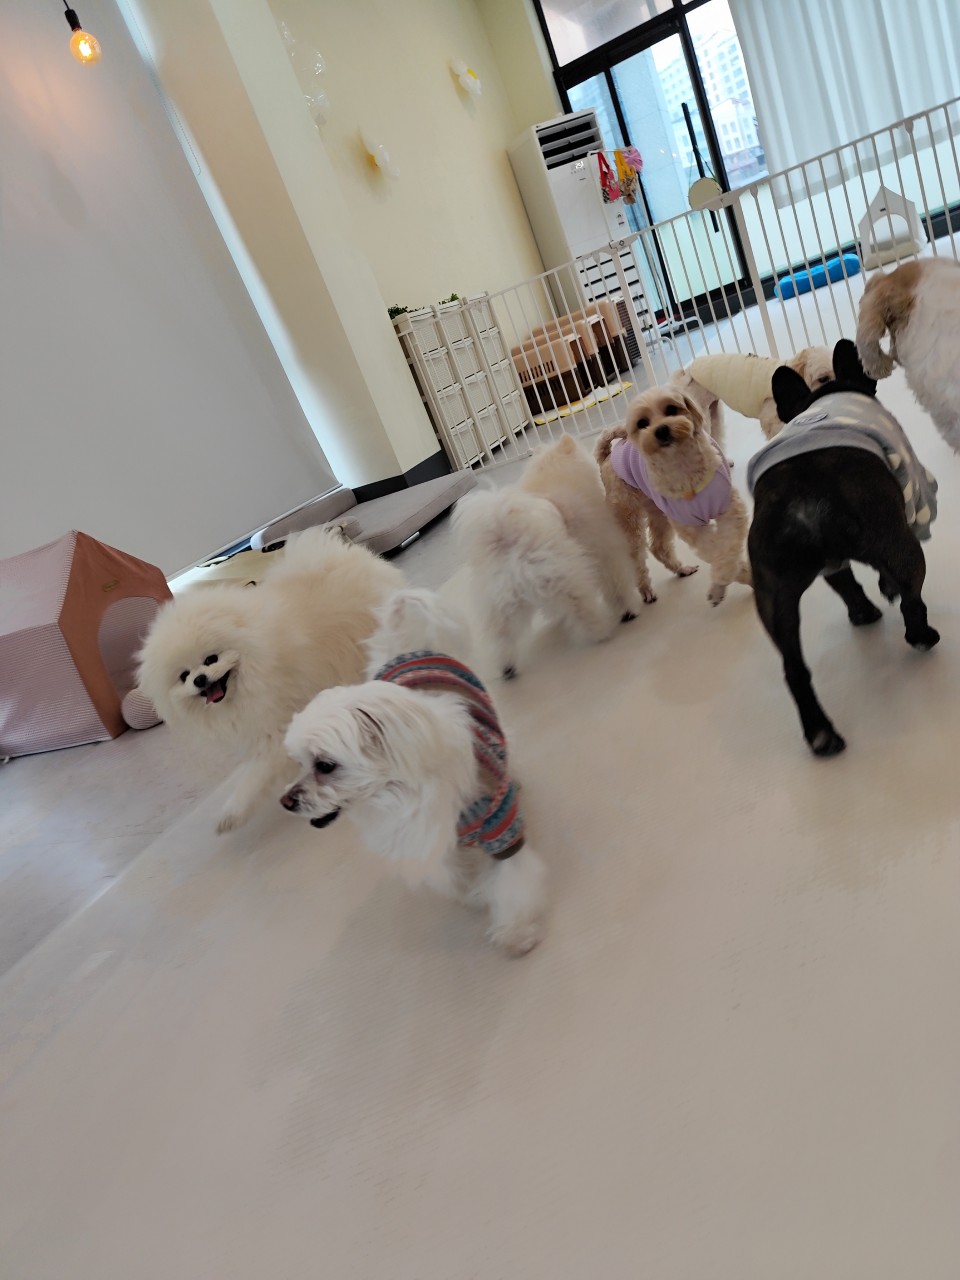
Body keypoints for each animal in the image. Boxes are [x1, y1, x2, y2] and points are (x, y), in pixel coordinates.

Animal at [137, 527, 405, 832]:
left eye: (211, 659)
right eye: (184, 676)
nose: (200, 679)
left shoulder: (277, 724)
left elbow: (254, 777)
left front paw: (231, 813)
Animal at [281, 590, 546, 956]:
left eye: (324, 765)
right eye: (298, 763)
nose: (286, 801)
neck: (399, 795)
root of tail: (410, 647)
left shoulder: (500, 824)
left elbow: (512, 880)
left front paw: (515, 931)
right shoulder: (423, 837)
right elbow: (449, 872)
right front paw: (470, 891)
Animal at [452, 434, 644, 679]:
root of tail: (505, 532)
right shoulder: (604, 548)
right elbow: (617, 583)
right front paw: (627, 608)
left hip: (498, 602)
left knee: (501, 637)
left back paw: (507, 667)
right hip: (567, 577)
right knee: (582, 609)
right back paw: (600, 631)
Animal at [596, 389, 752, 606]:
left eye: (671, 409)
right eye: (642, 423)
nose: (661, 430)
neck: (682, 466)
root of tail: (607, 456)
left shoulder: (729, 509)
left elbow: (727, 548)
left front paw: (730, 579)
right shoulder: (692, 528)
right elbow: (716, 550)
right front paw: (727, 582)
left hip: (657, 512)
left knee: (659, 547)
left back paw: (681, 569)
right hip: (629, 519)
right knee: (636, 558)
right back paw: (646, 590)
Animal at [747, 338, 939, 757]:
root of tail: (805, 495)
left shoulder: (830, 565)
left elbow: (846, 583)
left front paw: (864, 608)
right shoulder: (911, 502)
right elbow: (888, 578)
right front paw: (887, 590)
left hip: (772, 594)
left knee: (794, 666)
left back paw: (821, 733)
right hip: (900, 543)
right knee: (912, 598)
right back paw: (922, 636)